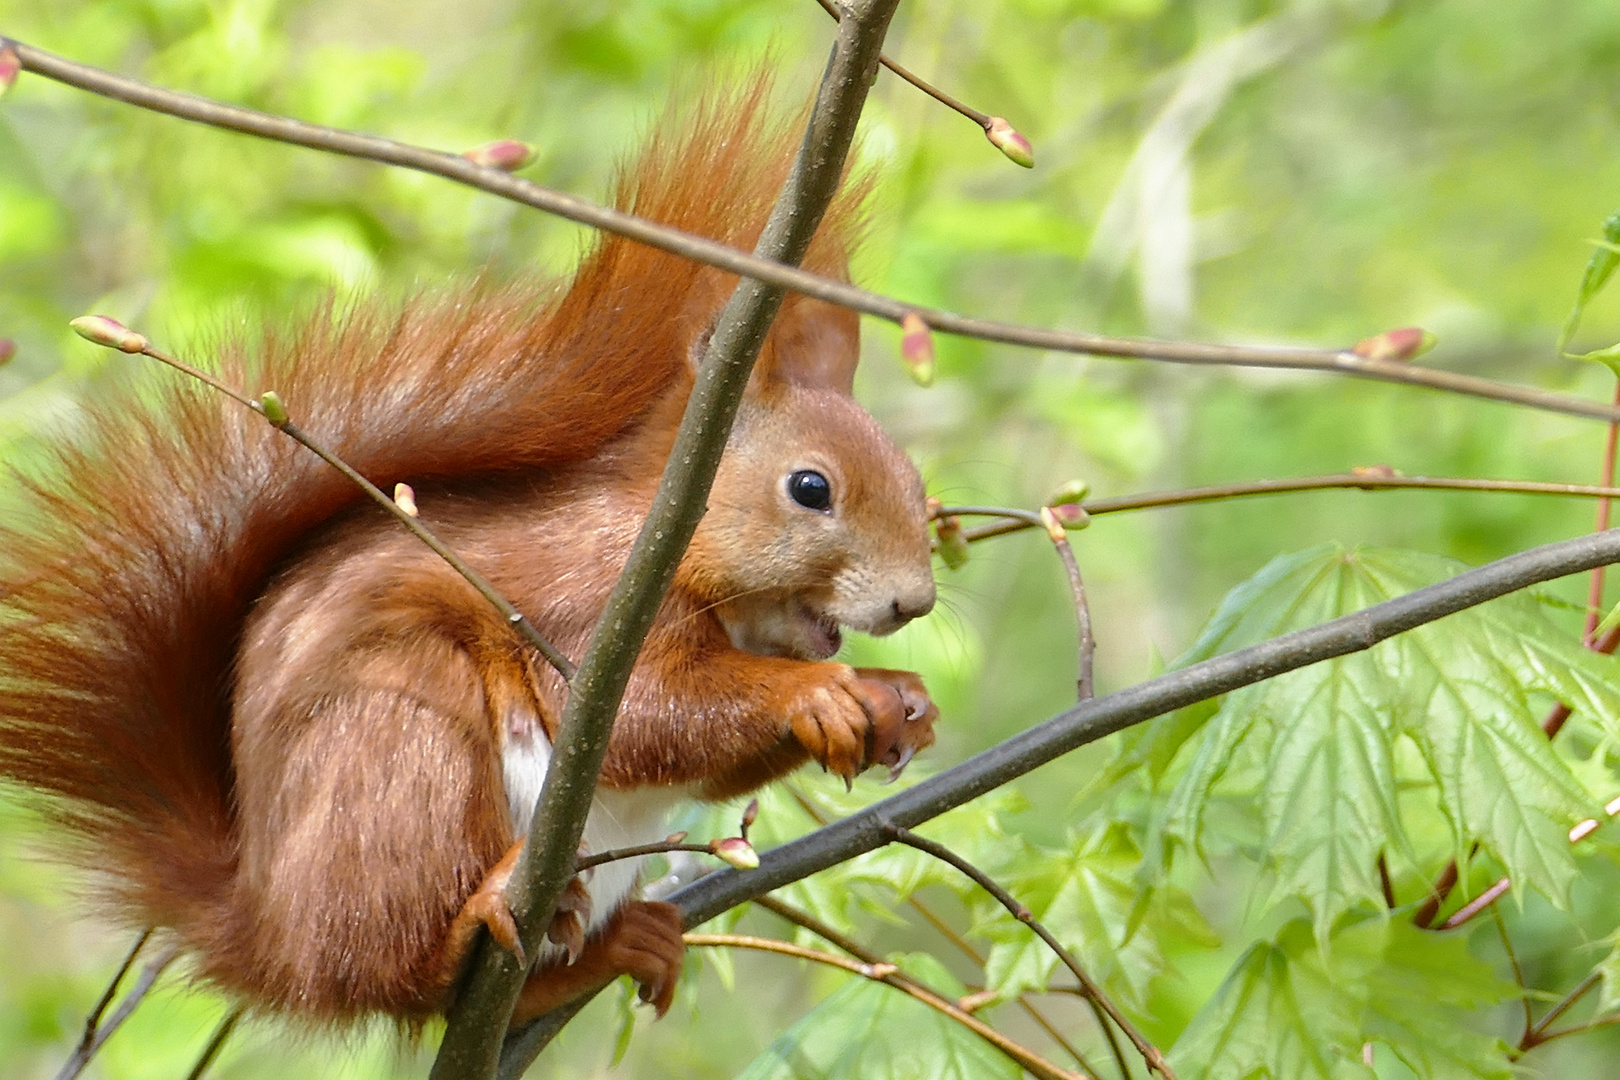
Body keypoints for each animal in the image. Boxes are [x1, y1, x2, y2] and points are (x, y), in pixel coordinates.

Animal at [0, 88, 939, 1029]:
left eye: (914, 476)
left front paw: (898, 698)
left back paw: (623, 946)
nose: (916, 604)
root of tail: (270, 936)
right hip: (399, 742)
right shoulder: (589, 603)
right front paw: (815, 694)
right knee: (399, 972)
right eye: (810, 488)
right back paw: (474, 918)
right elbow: (645, 717)